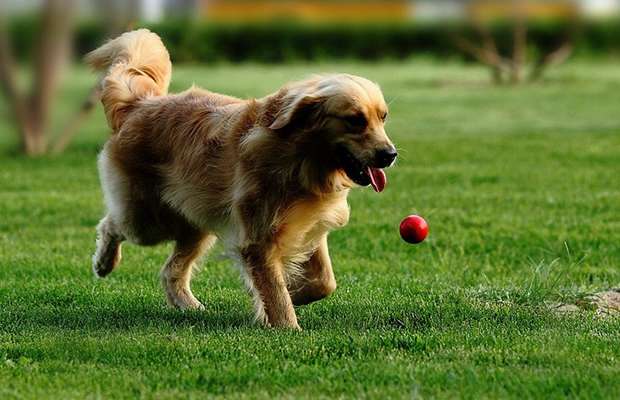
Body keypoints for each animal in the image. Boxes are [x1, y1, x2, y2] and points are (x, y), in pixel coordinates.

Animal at [87, 29, 398, 330]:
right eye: (355, 120)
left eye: (382, 117)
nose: (390, 154)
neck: (299, 159)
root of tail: (141, 103)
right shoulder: (258, 238)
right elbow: (276, 293)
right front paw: (286, 325)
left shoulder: (308, 224)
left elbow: (324, 282)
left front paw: (290, 295)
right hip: (147, 220)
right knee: (111, 225)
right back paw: (104, 263)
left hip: (196, 223)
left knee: (170, 270)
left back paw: (189, 306)